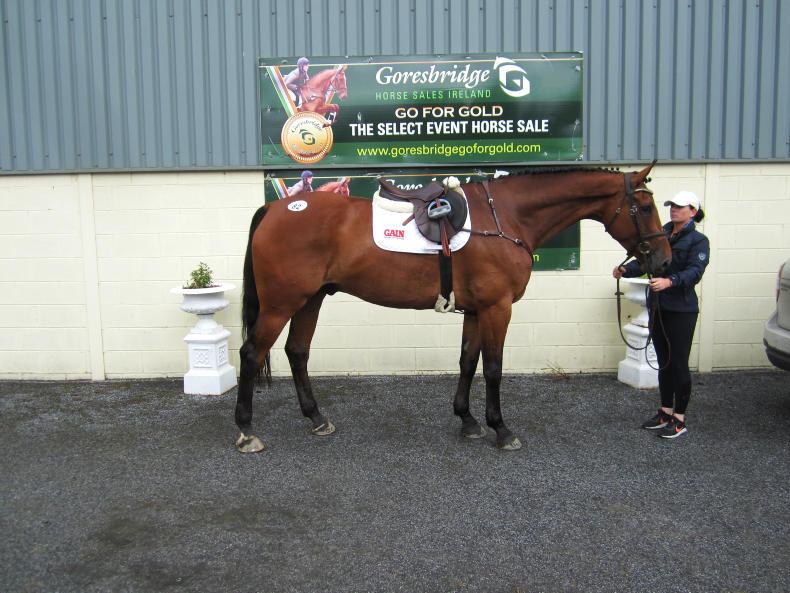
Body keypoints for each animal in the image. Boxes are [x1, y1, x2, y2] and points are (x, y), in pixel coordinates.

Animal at [235, 164, 671, 453]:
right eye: (645, 207)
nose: (665, 261)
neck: (505, 218)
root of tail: (275, 209)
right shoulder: (497, 308)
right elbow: (493, 368)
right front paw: (501, 429)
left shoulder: (477, 310)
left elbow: (467, 361)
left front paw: (468, 421)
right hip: (281, 303)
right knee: (251, 352)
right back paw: (246, 431)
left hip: (310, 300)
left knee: (297, 352)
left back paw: (317, 419)